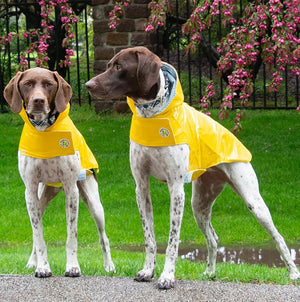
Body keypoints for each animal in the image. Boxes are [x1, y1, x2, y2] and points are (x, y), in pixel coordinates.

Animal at [4, 67, 115, 278]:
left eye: (49, 84)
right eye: (27, 84)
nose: (38, 101)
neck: (44, 130)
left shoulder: (71, 190)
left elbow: (71, 236)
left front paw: (72, 267)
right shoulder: (30, 191)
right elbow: (38, 236)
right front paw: (42, 267)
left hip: (94, 203)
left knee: (103, 237)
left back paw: (109, 266)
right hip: (41, 196)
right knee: (35, 232)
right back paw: (32, 262)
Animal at [85, 46, 300, 288]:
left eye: (119, 66)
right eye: (109, 65)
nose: (88, 85)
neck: (153, 115)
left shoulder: (176, 188)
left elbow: (173, 240)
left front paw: (167, 276)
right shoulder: (141, 187)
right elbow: (149, 238)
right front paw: (148, 271)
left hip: (253, 201)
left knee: (278, 237)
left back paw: (293, 273)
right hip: (200, 204)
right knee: (213, 238)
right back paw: (210, 272)